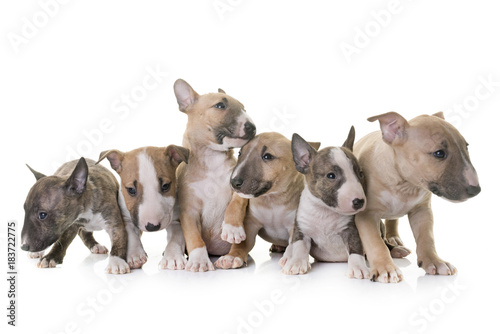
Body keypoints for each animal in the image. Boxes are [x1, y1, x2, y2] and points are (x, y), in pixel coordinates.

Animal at [174, 78, 256, 272]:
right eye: (220, 105)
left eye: (244, 108)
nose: (252, 127)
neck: (212, 159)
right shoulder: (188, 210)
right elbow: (194, 236)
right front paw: (198, 260)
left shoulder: (239, 185)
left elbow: (235, 204)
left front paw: (232, 228)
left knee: (241, 246)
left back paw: (232, 257)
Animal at [215, 132, 320, 270]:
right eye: (240, 153)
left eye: (267, 156)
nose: (234, 182)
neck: (272, 200)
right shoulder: (250, 224)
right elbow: (242, 244)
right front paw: (231, 257)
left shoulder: (294, 225)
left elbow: (294, 243)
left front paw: (291, 259)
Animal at [280, 126, 370, 278]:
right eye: (331, 175)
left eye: (361, 174)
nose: (359, 201)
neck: (324, 211)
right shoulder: (302, 229)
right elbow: (299, 246)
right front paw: (296, 263)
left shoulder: (351, 230)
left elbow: (356, 248)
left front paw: (358, 267)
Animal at [354, 111, 482, 282]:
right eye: (439, 153)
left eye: (466, 147)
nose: (476, 190)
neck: (405, 185)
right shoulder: (366, 215)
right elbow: (375, 242)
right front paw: (385, 268)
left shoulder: (422, 211)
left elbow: (426, 238)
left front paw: (435, 262)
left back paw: (394, 242)